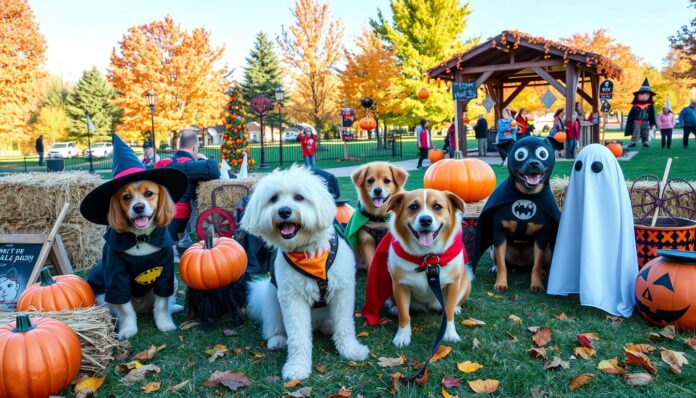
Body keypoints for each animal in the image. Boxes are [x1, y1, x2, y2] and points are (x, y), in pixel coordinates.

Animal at [242, 166, 370, 380]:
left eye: (299, 197)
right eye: (274, 199)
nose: (284, 211)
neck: (308, 252)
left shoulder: (342, 291)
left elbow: (345, 325)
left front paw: (351, 350)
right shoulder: (292, 299)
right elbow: (298, 336)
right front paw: (297, 366)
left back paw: (328, 327)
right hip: (272, 302)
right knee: (273, 328)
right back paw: (277, 340)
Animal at [384, 188, 470, 346]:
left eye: (437, 206)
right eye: (413, 206)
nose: (425, 220)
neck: (427, 257)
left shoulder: (452, 285)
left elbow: (448, 313)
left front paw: (450, 333)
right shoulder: (400, 285)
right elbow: (404, 315)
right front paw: (403, 335)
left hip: (466, 281)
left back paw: (457, 307)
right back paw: (393, 308)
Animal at [470, 137, 564, 292]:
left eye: (542, 154)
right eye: (520, 154)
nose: (533, 162)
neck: (526, 194)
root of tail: (520, 265)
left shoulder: (542, 237)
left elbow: (537, 265)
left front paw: (536, 284)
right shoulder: (499, 234)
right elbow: (502, 264)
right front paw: (500, 284)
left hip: (548, 251)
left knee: (538, 265)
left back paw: (543, 272)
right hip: (493, 249)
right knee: (501, 262)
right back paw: (495, 268)